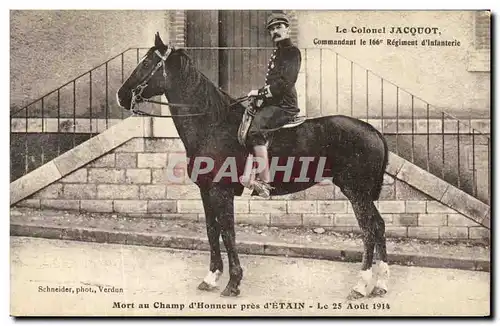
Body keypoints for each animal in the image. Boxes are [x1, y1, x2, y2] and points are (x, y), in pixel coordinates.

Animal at [117, 31, 390, 300]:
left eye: (146, 63)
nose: (121, 96)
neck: (213, 124)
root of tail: (373, 131)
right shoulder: (206, 191)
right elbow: (211, 230)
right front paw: (211, 277)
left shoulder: (221, 191)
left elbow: (228, 233)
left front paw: (233, 282)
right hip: (360, 194)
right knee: (378, 226)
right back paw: (380, 284)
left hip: (356, 192)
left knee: (369, 229)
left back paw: (361, 285)